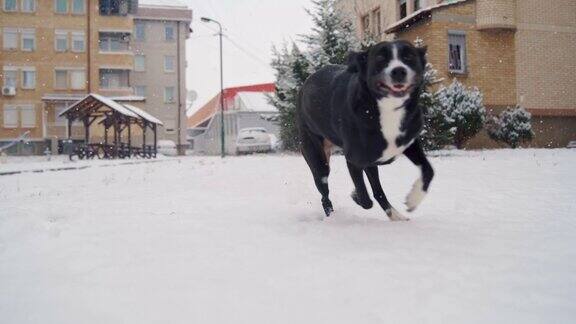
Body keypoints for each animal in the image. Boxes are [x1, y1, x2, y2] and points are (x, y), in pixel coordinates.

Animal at [294, 38, 434, 220]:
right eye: (380, 58)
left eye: (409, 56)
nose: (399, 71)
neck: (387, 108)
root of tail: (305, 85)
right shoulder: (354, 160)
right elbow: (365, 198)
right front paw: (356, 196)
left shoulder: (408, 142)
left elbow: (429, 170)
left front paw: (413, 199)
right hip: (317, 158)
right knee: (325, 192)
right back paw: (332, 214)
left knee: (378, 191)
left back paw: (396, 216)